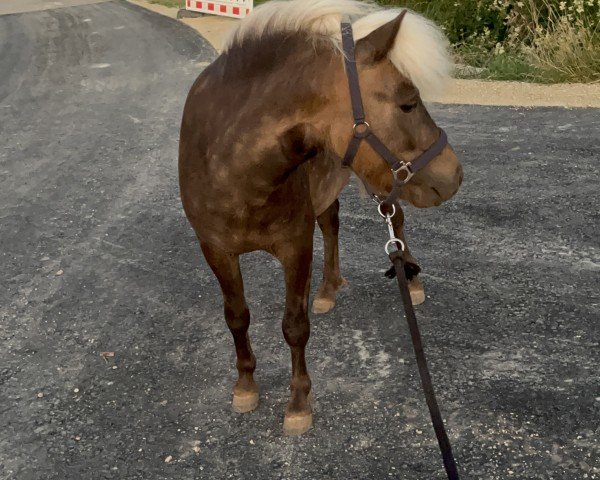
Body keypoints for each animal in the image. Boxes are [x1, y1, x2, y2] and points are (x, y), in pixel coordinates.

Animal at [178, 0, 464, 436]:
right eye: (408, 103)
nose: (455, 175)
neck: (232, 166)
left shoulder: (295, 246)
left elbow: (294, 326)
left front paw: (298, 403)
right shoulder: (215, 250)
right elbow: (237, 317)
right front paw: (245, 385)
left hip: (379, 185)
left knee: (395, 222)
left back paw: (410, 281)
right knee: (332, 226)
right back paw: (329, 288)